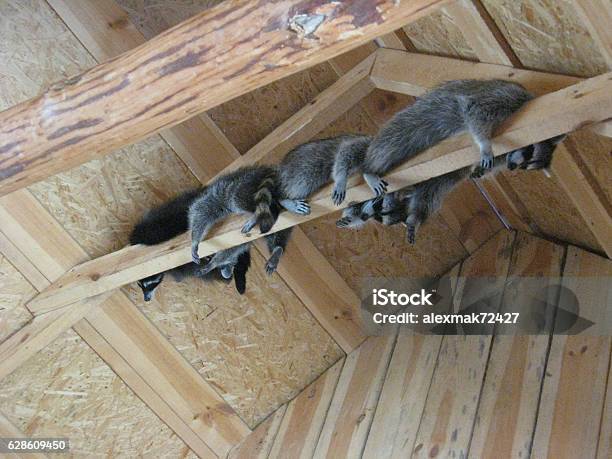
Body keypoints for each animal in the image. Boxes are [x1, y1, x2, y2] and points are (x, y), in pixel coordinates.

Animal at [262, 135, 370, 274]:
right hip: (302, 166)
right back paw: (283, 198)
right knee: (302, 179)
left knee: (282, 233)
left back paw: (277, 248)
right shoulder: (364, 145)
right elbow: (346, 152)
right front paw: (341, 179)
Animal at [332, 79, 568, 203]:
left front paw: (481, 169)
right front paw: (485, 145)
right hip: (408, 123)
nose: (512, 167)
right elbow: (475, 109)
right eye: (528, 154)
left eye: (527, 163)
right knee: (385, 146)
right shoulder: (511, 96)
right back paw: (367, 169)